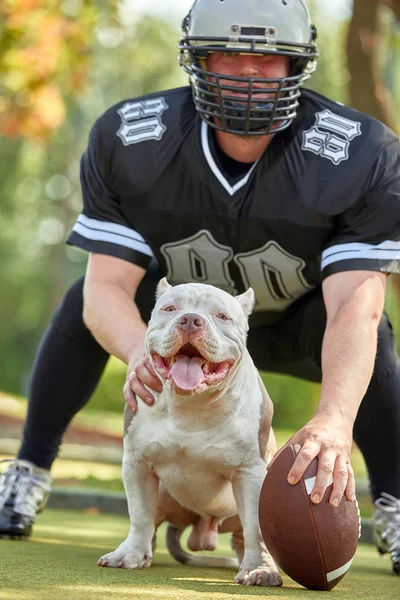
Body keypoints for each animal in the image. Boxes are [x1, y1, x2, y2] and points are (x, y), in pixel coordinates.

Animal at [98, 280, 282, 584]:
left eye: (222, 316)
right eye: (170, 309)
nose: (190, 320)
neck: (191, 405)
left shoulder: (251, 473)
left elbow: (256, 527)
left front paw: (261, 569)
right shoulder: (137, 464)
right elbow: (140, 515)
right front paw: (129, 554)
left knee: (243, 536)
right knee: (152, 524)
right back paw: (144, 551)